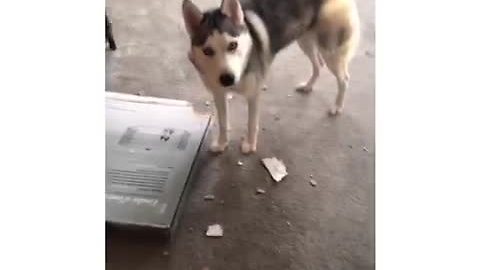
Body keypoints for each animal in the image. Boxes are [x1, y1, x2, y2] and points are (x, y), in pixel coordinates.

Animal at [182, 0, 358, 154]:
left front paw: (250, 145)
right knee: (318, 65)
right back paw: (308, 86)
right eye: (207, 51)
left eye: (233, 45)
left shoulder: (253, 94)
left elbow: (251, 123)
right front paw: (221, 144)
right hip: (304, 40)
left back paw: (337, 106)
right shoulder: (218, 93)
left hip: (330, 51)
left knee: (344, 79)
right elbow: (223, 122)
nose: (227, 79)